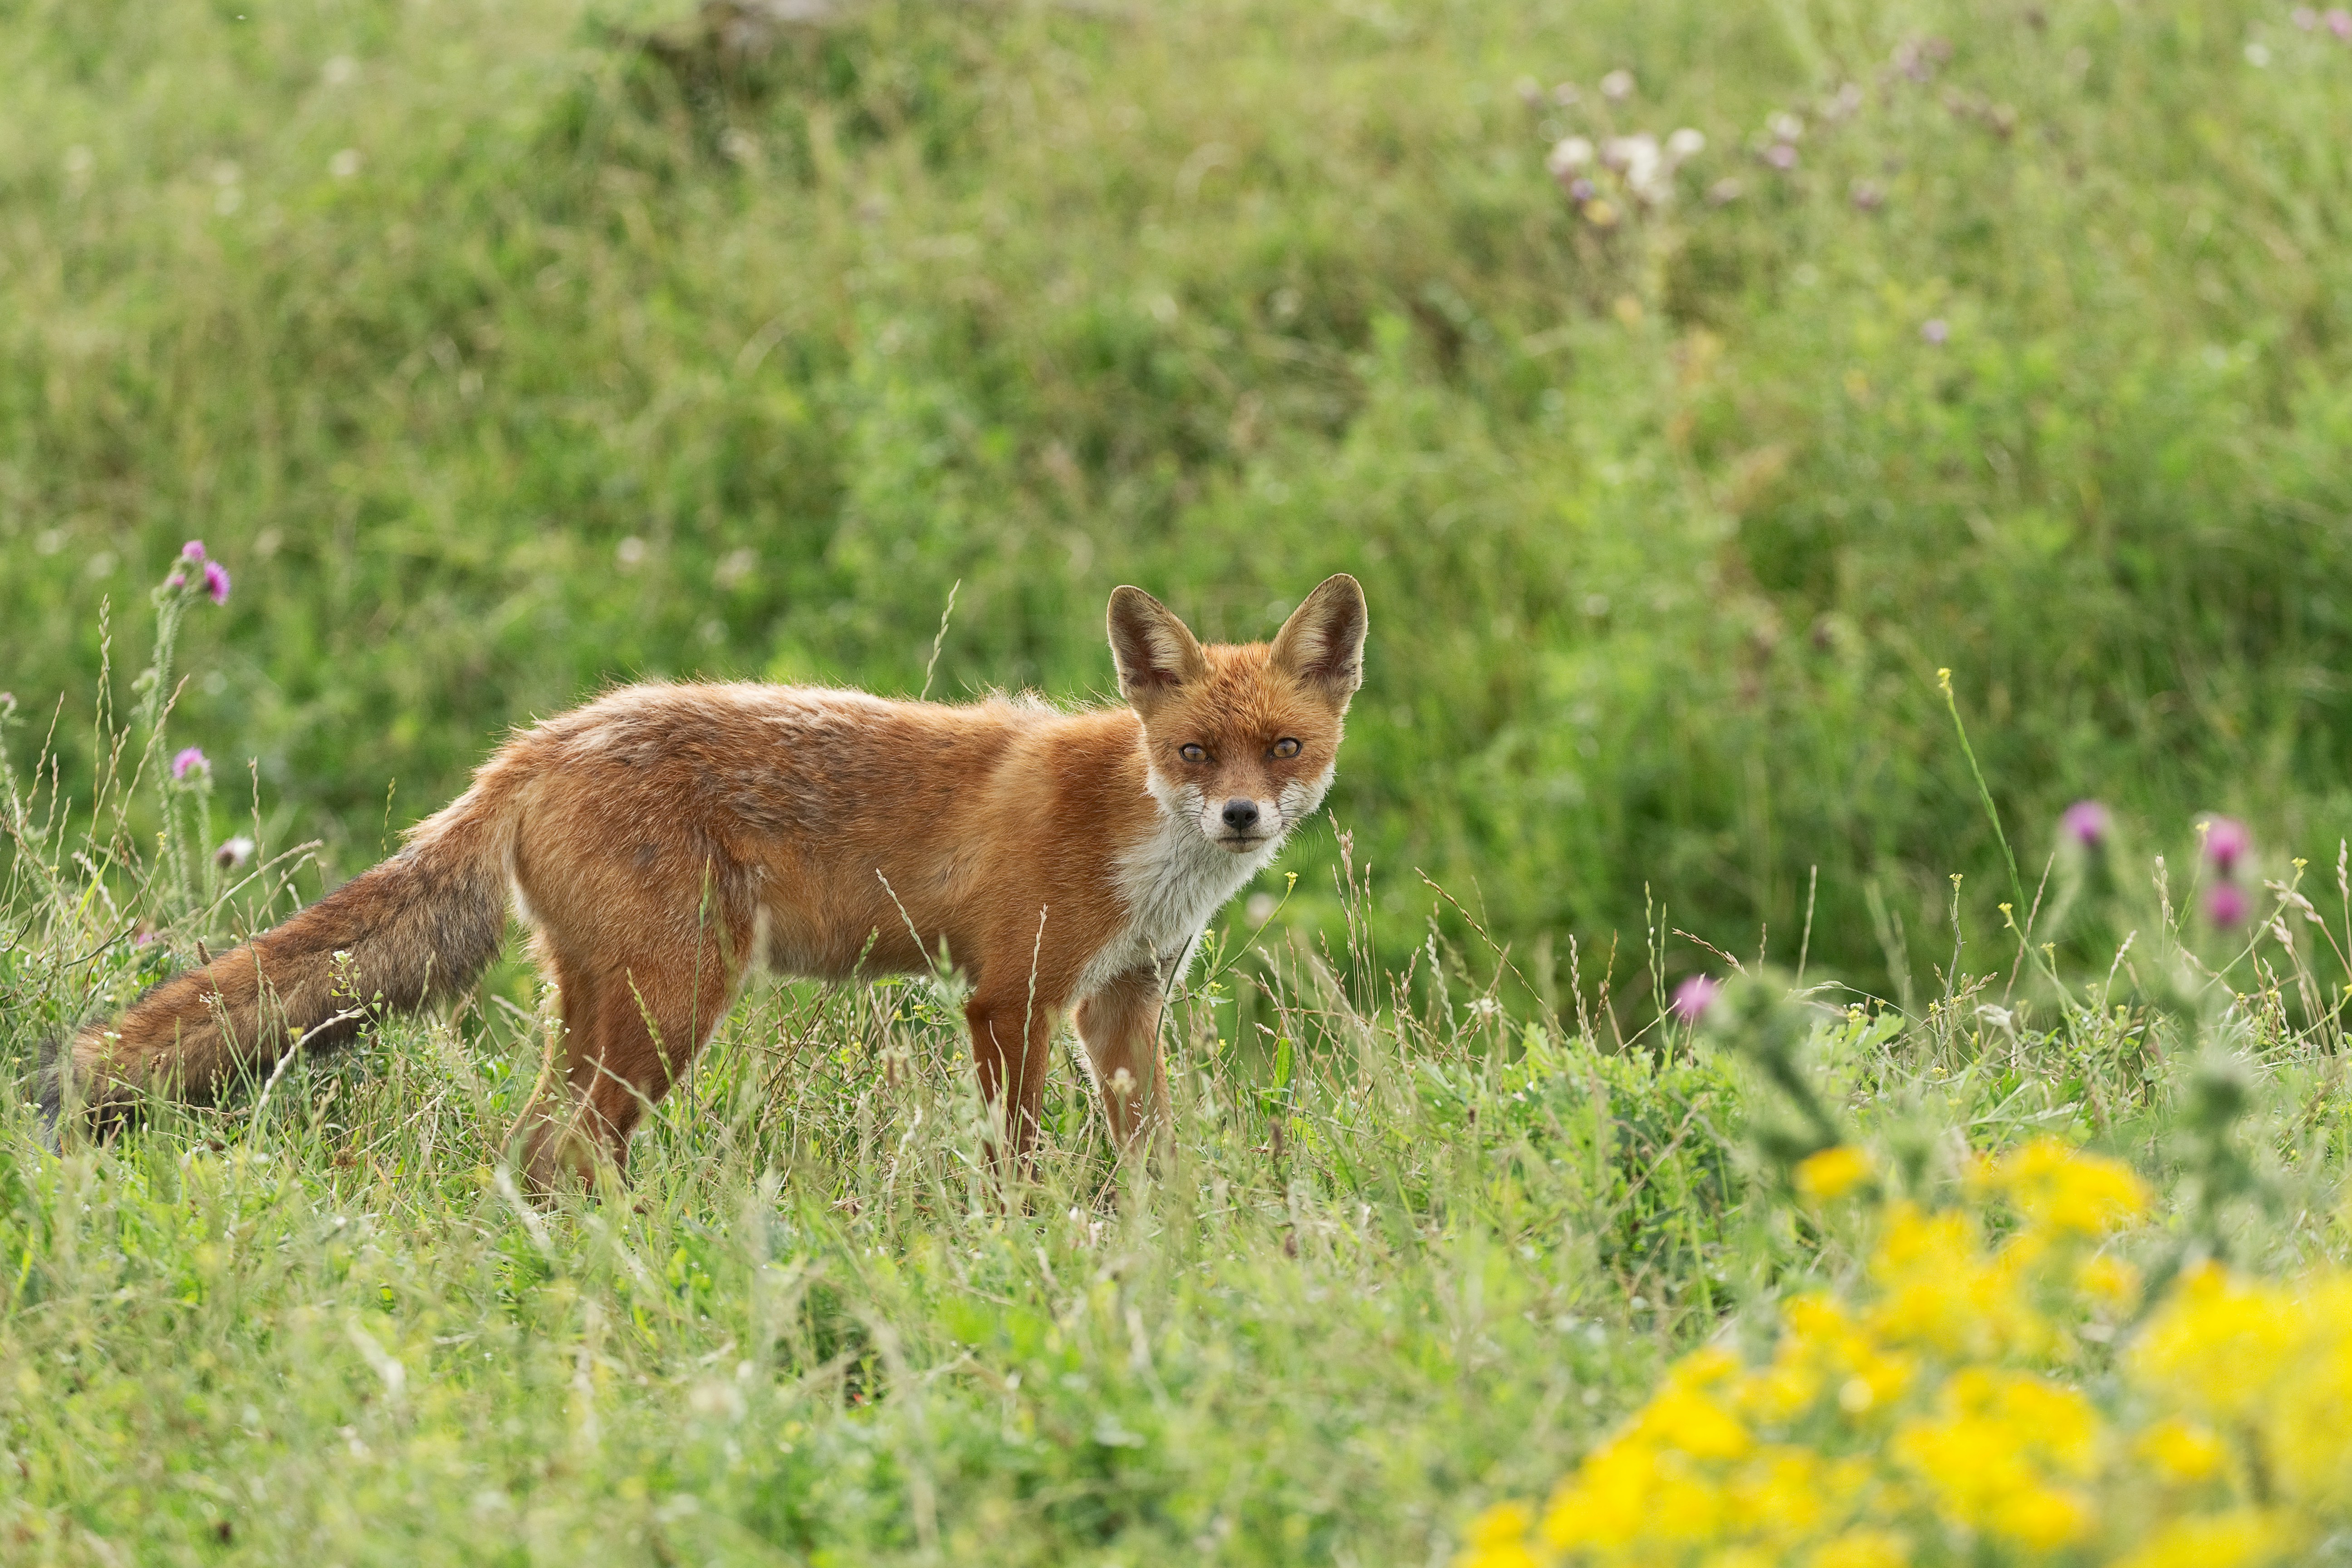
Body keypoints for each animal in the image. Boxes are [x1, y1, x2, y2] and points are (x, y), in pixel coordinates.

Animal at [47, 575, 1368, 1189]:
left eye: (1282, 749)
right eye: (1193, 752)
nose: (1242, 817)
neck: (1142, 845)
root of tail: (532, 744)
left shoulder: (1123, 999)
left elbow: (1151, 1155)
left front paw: (1151, 1243)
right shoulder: (1009, 993)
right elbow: (1017, 1157)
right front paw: (1026, 1242)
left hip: (613, 1006)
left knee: (535, 1148)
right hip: (674, 1002)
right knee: (561, 1148)